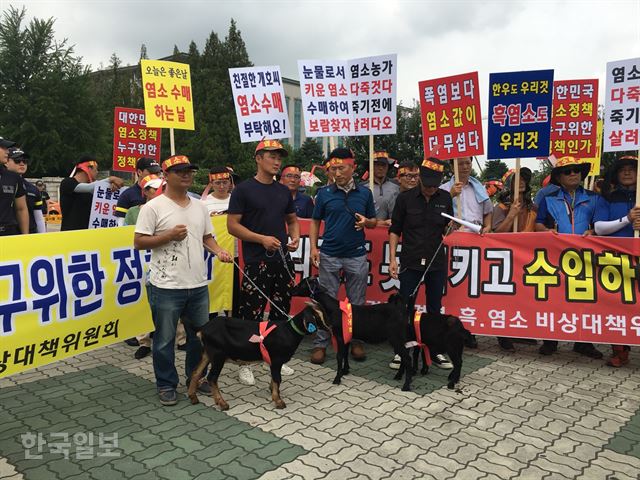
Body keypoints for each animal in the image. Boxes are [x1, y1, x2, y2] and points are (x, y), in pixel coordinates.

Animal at [186, 304, 328, 408]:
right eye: (318, 316)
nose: (328, 327)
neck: (289, 331)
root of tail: (203, 328)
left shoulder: (274, 362)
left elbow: (274, 378)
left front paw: (273, 391)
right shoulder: (277, 360)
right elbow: (278, 379)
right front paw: (278, 401)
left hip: (207, 354)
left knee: (196, 372)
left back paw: (193, 397)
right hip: (218, 355)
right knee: (212, 378)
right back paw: (222, 403)